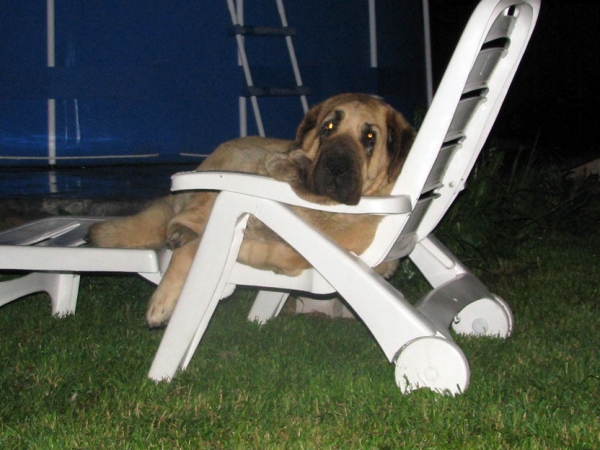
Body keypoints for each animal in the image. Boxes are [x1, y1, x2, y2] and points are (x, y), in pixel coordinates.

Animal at [89, 95, 414, 326]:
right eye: (328, 128)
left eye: (370, 138)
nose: (336, 168)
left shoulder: (282, 250)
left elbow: (198, 248)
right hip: (239, 164)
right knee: (181, 216)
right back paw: (180, 229)